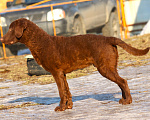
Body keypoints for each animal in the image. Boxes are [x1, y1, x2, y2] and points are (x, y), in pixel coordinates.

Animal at [0, 18, 149, 111]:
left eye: (11, 29)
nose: (1, 39)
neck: (41, 43)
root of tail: (108, 38)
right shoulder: (63, 74)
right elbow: (67, 91)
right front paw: (68, 107)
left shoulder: (56, 72)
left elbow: (61, 92)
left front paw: (60, 108)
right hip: (110, 67)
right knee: (120, 83)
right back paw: (123, 100)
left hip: (105, 68)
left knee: (123, 81)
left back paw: (128, 101)